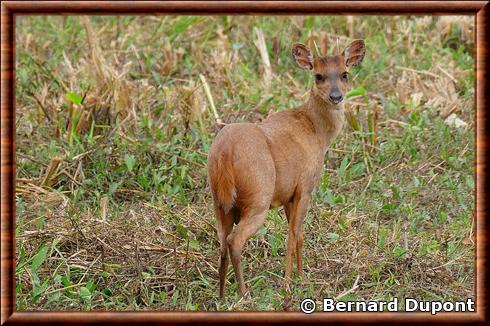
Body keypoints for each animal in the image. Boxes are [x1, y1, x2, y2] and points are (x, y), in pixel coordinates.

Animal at [207, 39, 364, 300]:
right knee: (234, 241)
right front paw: (290, 283)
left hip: (219, 201)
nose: (336, 96)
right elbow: (292, 236)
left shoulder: (288, 194)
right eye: (318, 76)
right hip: (258, 196)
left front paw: (301, 276)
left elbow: (298, 236)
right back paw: (244, 294)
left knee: (221, 242)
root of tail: (224, 153)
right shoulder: (305, 186)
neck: (317, 131)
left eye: (345, 73)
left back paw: (221, 297)